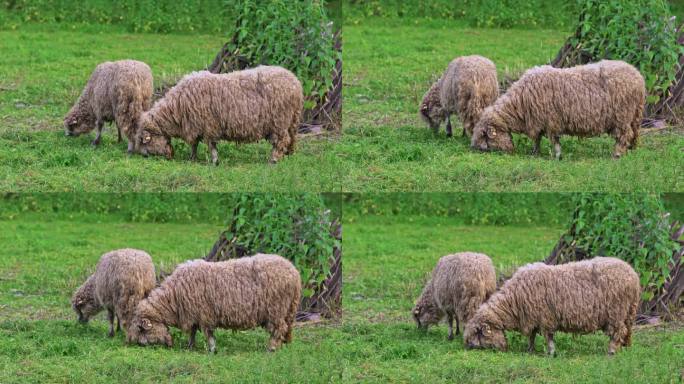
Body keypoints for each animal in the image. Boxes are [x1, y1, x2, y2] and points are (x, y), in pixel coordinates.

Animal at [126, 254, 302, 352]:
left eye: (141, 329)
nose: (140, 345)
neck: (172, 298)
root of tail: (295, 273)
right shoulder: (194, 314)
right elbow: (193, 332)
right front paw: (190, 346)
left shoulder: (205, 314)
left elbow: (208, 333)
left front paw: (211, 349)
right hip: (287, 309)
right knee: (286, 329)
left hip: (276, 309)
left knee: (279, 329)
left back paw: (271, 348)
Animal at [136, 66, 302, 165]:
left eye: (146, 142)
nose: (144, 156)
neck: (176, 109)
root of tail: (296, 82)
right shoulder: (196, 126)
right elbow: (194, 144)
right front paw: (192, 158)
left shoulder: (209, 126)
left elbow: (211, 145)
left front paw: (214, 161)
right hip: (292, 120)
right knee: (292, 138)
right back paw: (289, 154)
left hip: (279, 121)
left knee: (281, 140)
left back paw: (273, 160)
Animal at [464, 256, 640, 356]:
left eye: (478, 337)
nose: (469, 348)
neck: (513, 301)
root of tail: (633, 275)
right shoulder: (533, 317)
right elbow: (532, 336)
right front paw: (530, 350)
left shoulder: (545, 317)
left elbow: (548, 336)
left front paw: (551, 352)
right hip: (629, 312)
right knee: (628, 330)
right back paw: (626, 346)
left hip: (616, 312)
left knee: (618, 331)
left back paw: (612, 350)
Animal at [472, 59, 644, 158]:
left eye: (485, 137)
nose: (477, 150)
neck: (519, 103)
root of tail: (638, 77)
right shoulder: (538, 121)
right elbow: (537, 138)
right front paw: (535, 153)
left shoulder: (551, 120)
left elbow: (553, 139)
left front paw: (558, 155)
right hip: (634, 115)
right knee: (634, 134)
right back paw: (630, 149)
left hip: (622, 116)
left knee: (624, 134)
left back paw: (617, 154)